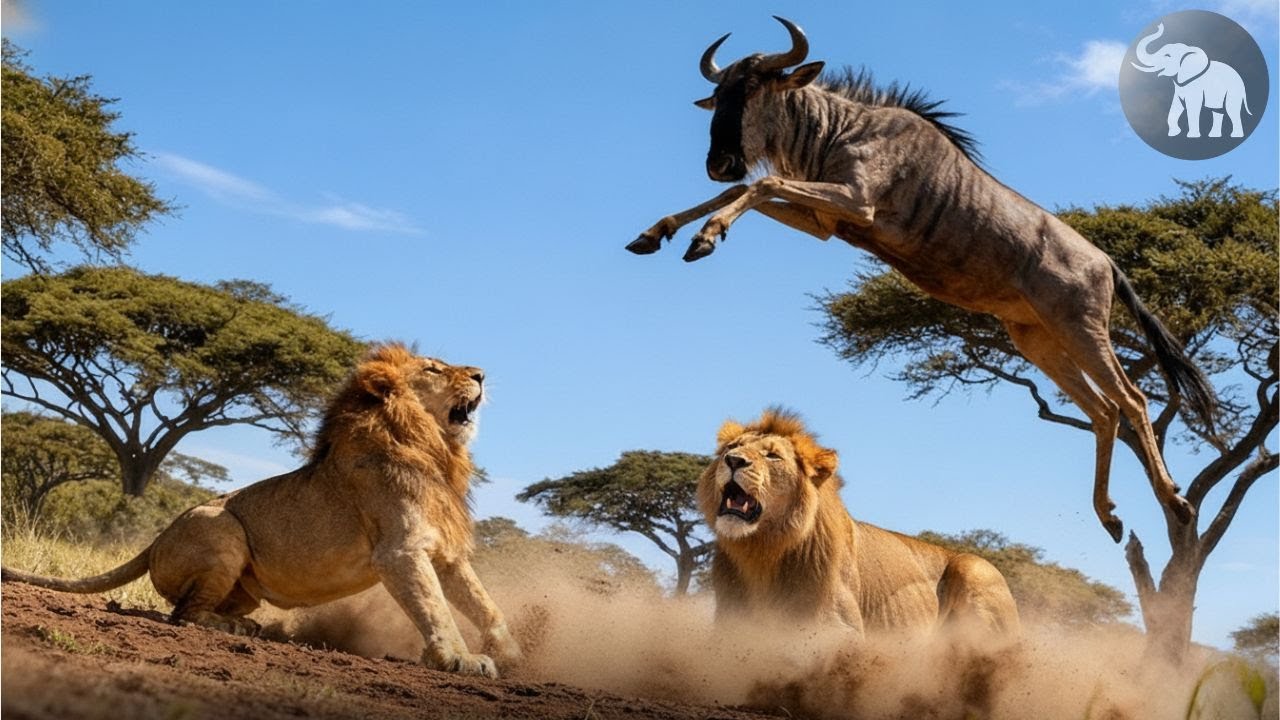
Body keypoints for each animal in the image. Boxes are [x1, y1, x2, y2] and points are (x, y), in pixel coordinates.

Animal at [2, 343, 521, 678]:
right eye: (433, 369)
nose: (480, 375)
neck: (434, 449)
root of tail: (154, 541)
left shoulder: (446, 553)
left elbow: (486, 605)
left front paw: (516, 655)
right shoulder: (400, 551)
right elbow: (436, 609)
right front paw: (459, 660)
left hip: (243, 583)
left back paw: (250, 625)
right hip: (220, 527)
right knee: (184, 614)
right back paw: (236, 629)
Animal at [699, 408, 1020, 638]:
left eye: (772, 455)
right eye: (732, 446)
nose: (734, 460)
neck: (762, 551)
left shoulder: (840, 628)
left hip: (974, 569)